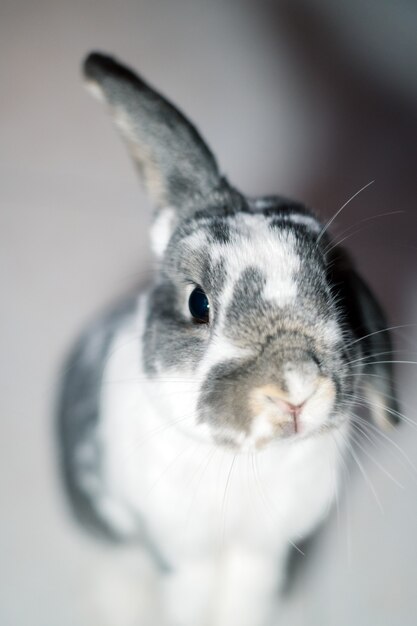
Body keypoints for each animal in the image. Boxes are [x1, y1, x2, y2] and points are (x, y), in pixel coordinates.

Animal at [57, 52, 398, 624]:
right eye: (199, 303)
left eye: (335, 288)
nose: (295, 387)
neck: (251, 461)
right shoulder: (181, 554)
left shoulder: (264, 552)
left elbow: (247, 600)